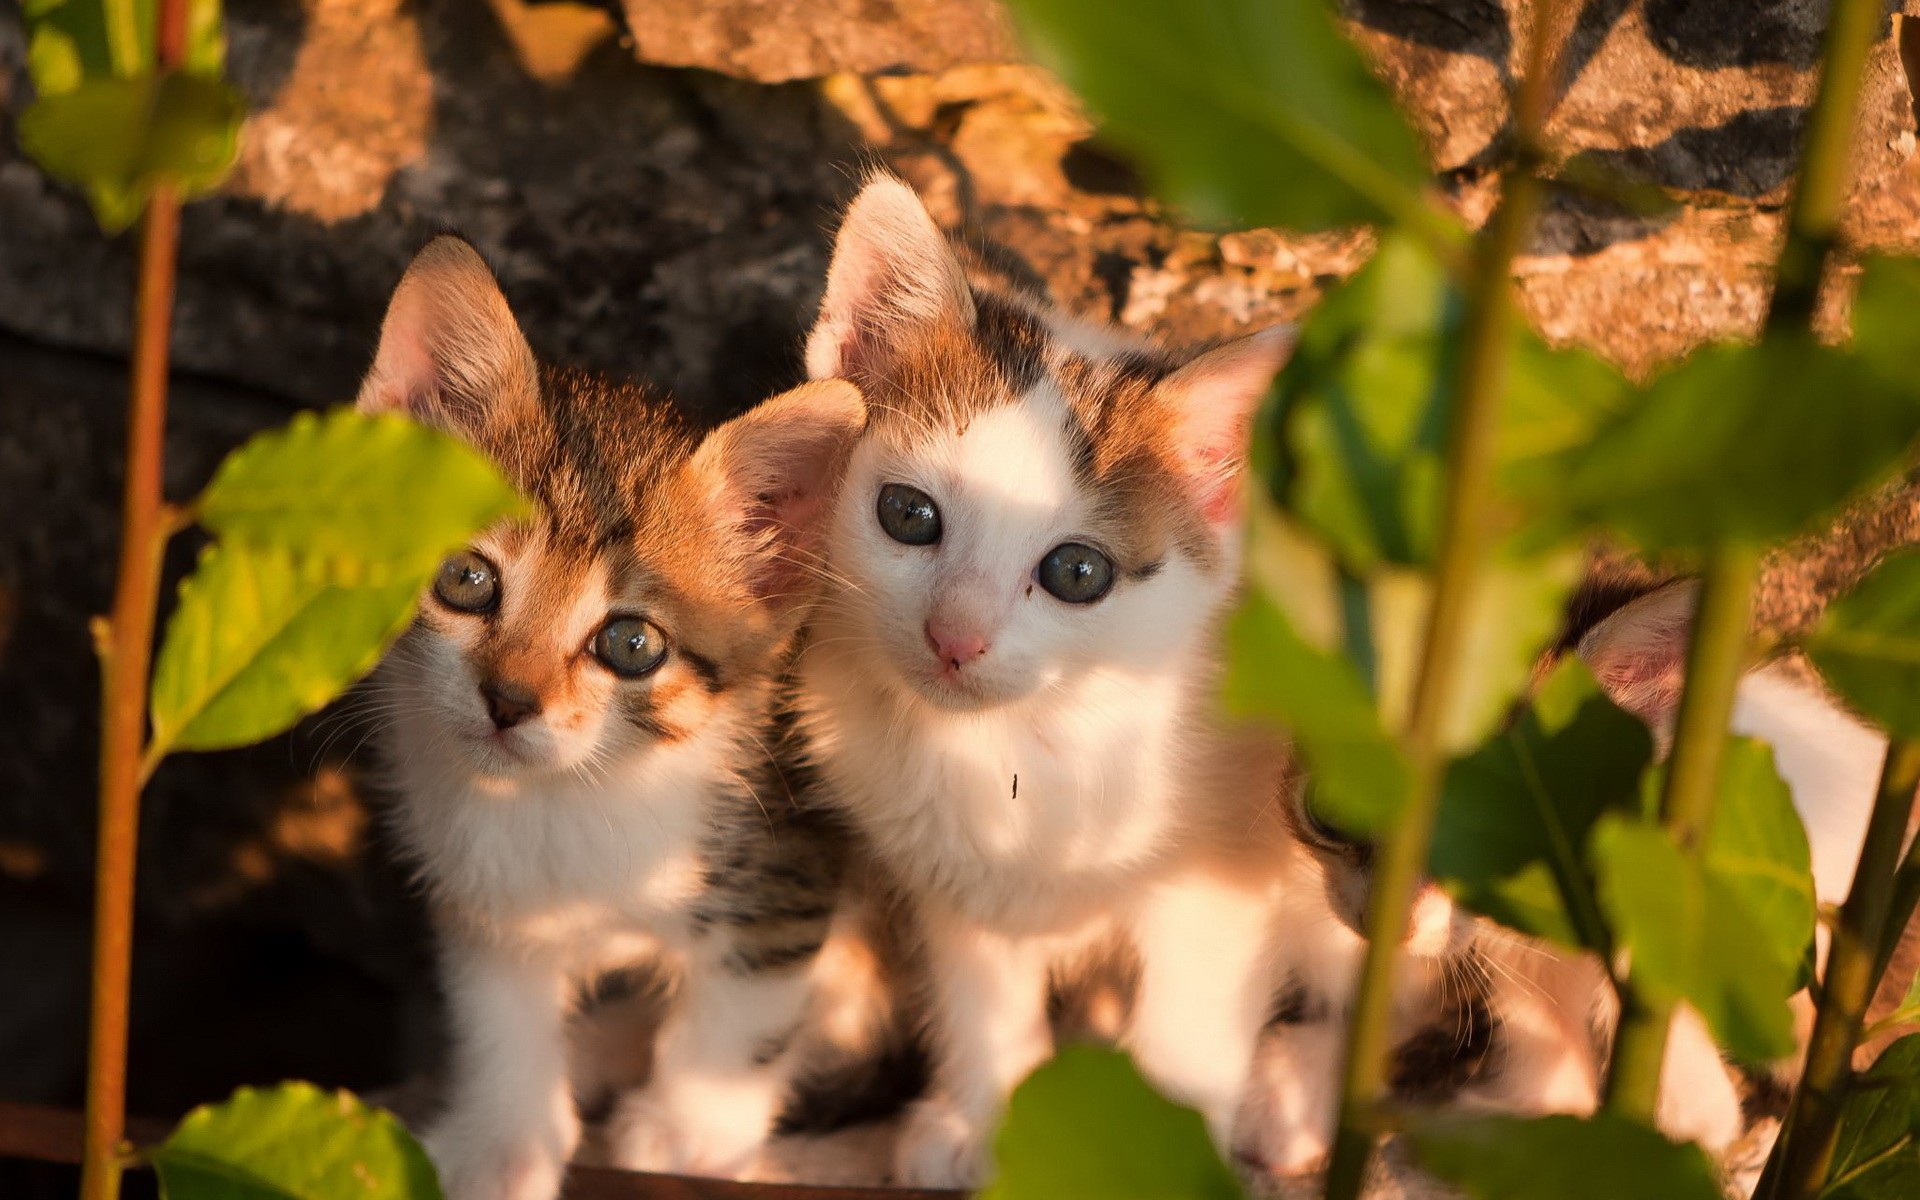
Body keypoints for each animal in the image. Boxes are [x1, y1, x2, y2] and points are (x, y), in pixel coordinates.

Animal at [360, 236, 871, 1198]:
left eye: (631, 644)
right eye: (466, 580)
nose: (508, 700)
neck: (569, 797)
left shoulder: (788, 861)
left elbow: (745, 1007)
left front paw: (687, 1133)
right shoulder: (484, 899)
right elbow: (497, 1013)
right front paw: (501, 1147)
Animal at [787, 172, 1297, 1182]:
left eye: (1076, 572)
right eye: (909, 515)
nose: (956, 637)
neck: (1016, 744)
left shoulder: (1226, 883)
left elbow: (1189, 1028)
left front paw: (1159, 1158)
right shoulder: (947, 870)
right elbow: (981, 991)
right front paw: (987, 1121)